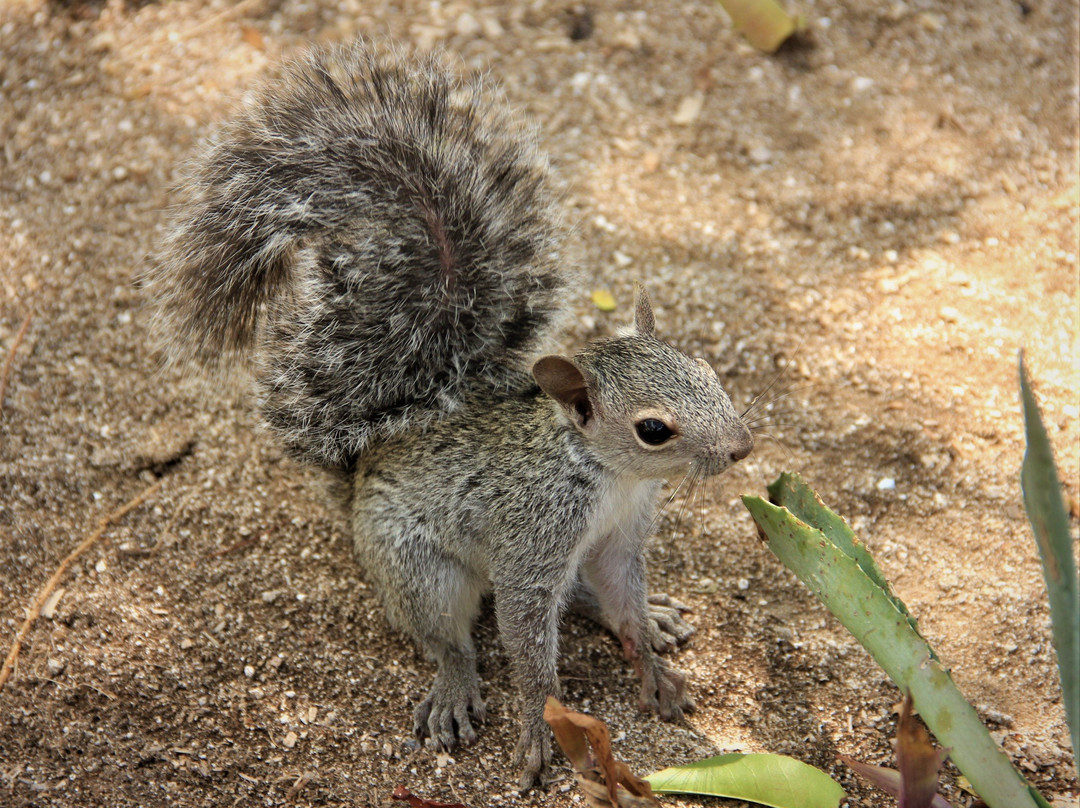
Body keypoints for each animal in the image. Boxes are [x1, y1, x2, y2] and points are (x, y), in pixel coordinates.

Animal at [145, 42, 751, 790]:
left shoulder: (617, 540)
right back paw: (457, 685)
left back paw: (648, 617)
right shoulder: (532, 541)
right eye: (654, 430)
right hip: (418, 568)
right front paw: (540, 726)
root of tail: (361, 472)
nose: (741, 448)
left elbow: (621, 598)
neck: (608, 478)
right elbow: (527, 643)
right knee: (445, 637)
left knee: (578, 597)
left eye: (708, 372)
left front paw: (651, 661)